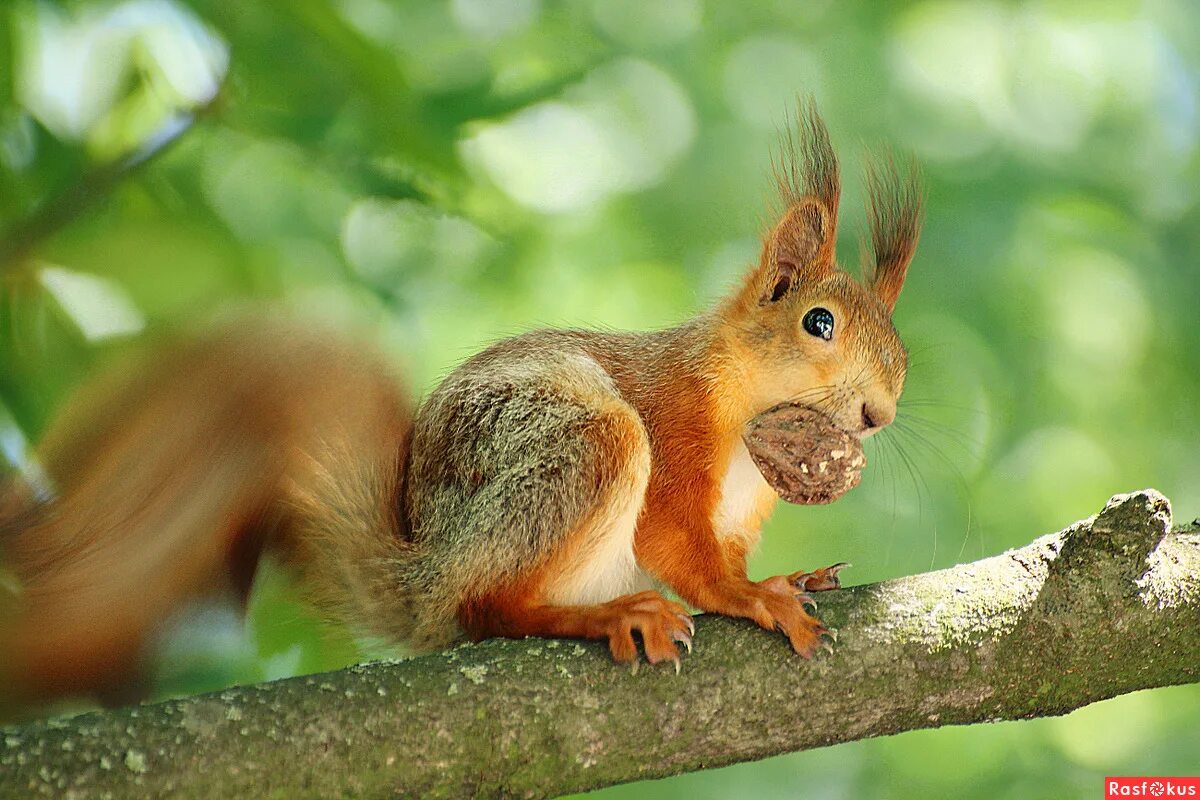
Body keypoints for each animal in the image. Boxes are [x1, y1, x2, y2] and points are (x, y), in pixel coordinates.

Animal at [0, 103, 921, 707]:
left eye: (900, 344)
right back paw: (605, 613)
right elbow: (680, 546)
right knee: (487, 610)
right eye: (818, 322)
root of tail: (428, 574)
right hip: (584, 444)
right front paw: (753, 595)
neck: (739, 415)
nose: (879, 415)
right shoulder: (674, 425)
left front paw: (789, 575)